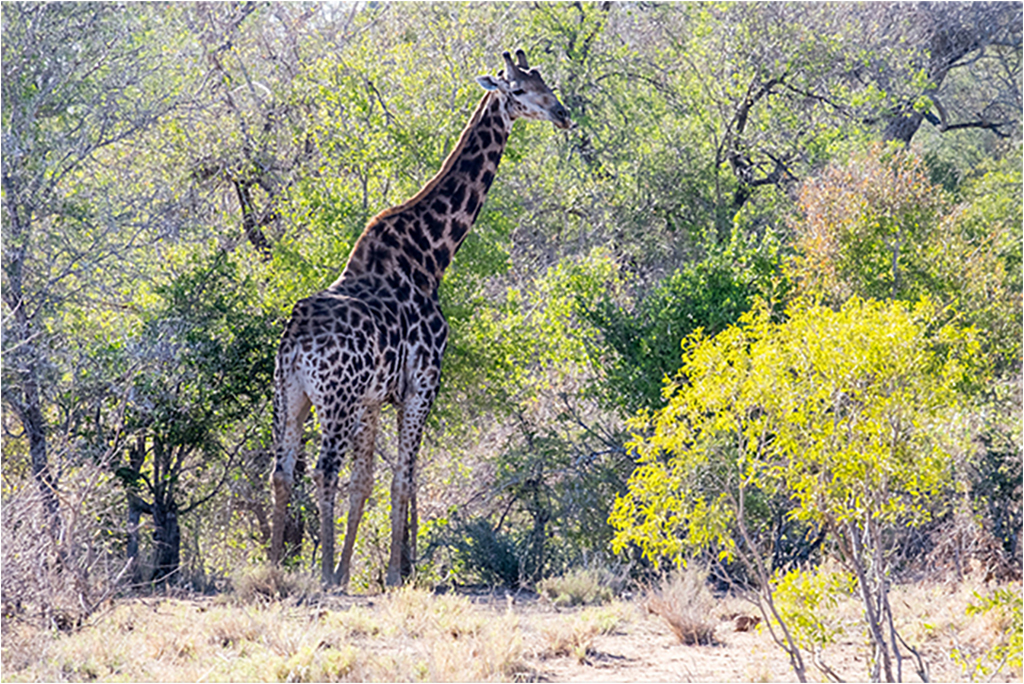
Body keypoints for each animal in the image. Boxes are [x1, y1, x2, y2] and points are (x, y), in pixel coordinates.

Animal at [268, 49, 573, 589]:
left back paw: (272, 570)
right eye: (517, 90)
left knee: (282, 472)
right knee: (324, 468)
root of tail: (297, 340)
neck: (431, 257)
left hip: (291, 395)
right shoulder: (422, 382)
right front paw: (390, 574)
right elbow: (402, 478)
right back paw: (319, 576)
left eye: (546, 83)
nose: (562, 113)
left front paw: (349, 571)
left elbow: (365, 480)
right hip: (333, 398)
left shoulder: (373, 397)